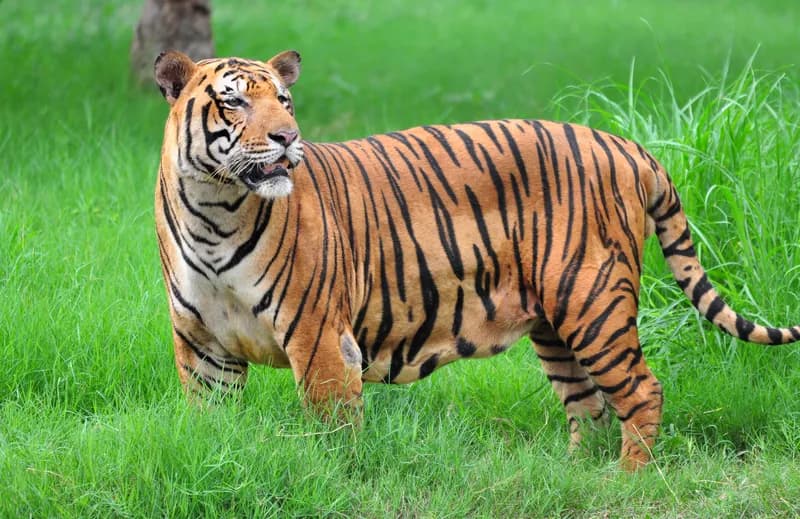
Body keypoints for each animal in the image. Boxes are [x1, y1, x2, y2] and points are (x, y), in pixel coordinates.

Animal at [153, 49, 800, 471]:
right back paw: (573, 480)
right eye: (235, 103)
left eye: (284, 101)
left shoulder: (319, 339)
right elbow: (210, 427)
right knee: (589, 406)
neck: (214, 210)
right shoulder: (204, 349)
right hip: (555, 325)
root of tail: (626, 144)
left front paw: (336, 475)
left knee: (642, 391)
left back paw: (629, 481)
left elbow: (334, 431)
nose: (288, 138)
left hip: (593, 300)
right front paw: (215, 461)